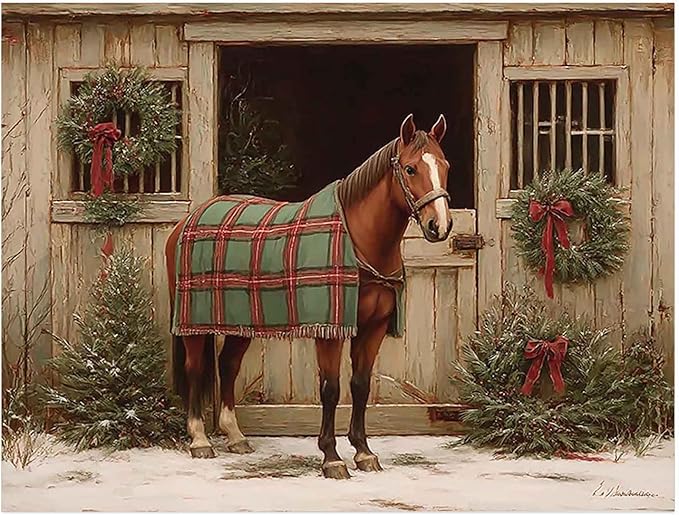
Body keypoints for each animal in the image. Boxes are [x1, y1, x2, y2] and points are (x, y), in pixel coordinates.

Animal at [165, 113, 452, 479]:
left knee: (228, 365)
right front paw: (332, 458)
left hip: (239, 319)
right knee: (195, 368)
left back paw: (236, 436)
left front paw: (364, 452)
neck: (357, 239)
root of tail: (184, 223)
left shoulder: (372, 328)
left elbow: (360, 385)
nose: (439, 226)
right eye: (411, 168)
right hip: (194, 322)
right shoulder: (329, 330)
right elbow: (330, 390)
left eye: (445, 165)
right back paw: (200, 440)